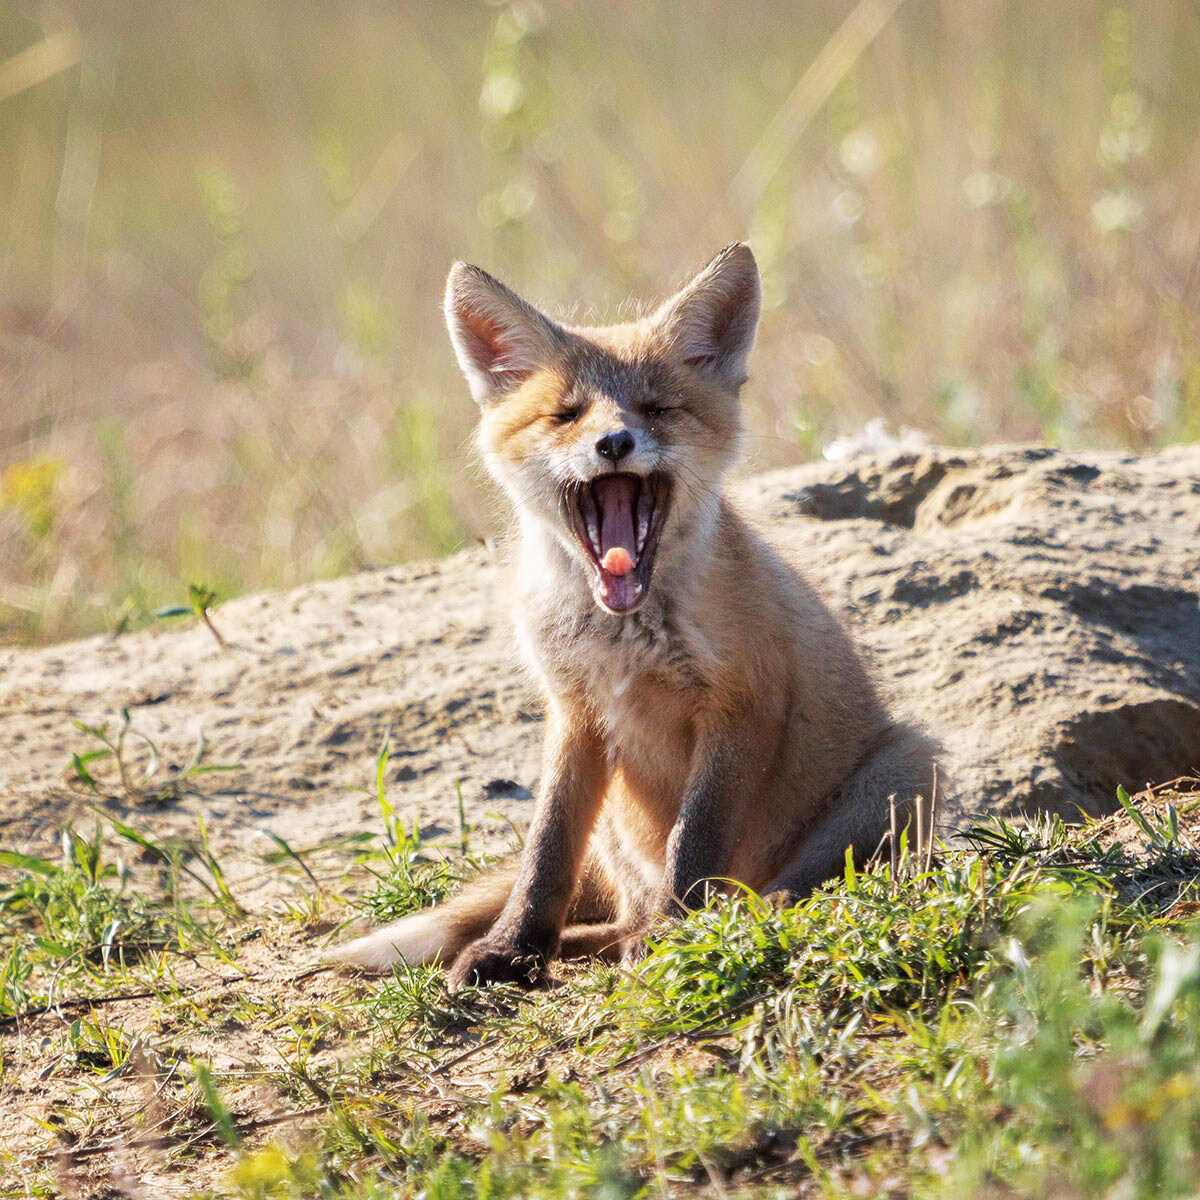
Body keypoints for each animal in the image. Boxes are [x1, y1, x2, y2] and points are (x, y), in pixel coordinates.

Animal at [336, 241, 936, 984]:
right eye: (566, 415)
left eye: (654, 409)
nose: (614, 443)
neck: (622, 639)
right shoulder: (575, 713)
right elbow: (546, 853)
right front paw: (512, 949)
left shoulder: (740, 704)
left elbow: (694, 840)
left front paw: (686, 940)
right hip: (617, 834)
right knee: (617, 924)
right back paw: (597, 944)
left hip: (908, 764)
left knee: (785, 889)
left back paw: (729, 920)